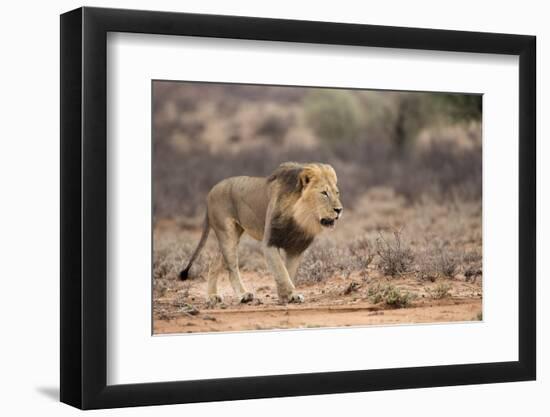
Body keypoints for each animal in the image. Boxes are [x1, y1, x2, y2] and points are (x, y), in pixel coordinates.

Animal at [181, 162, 342, 302]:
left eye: (337, 193)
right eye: (324, 193)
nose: (339, 210)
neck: (300, 219)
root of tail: (210, 192)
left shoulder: (296, 248)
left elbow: (289, 272)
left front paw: (287, 296)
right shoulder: (270, 242)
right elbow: (281, 270)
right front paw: (290, 294)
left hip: (232, 234)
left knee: (214, 263)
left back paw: (212, 296)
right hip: (227, 233)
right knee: (232, 267)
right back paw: (243, 295)